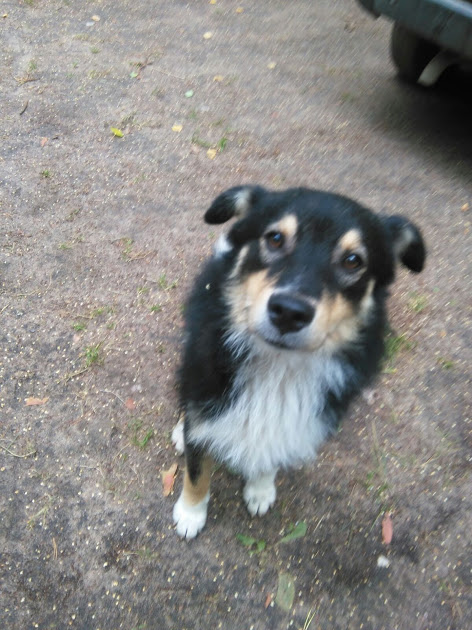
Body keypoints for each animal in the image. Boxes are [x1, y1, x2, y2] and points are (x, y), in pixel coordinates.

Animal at [171, 185, 425, 539]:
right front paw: (191, 513)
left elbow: (273, 451)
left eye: (353, 261)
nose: (289, 312)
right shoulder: (203, 385)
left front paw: (260, 489)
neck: (280, 366)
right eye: (275, 239)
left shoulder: (294, 421)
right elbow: (197, 470)